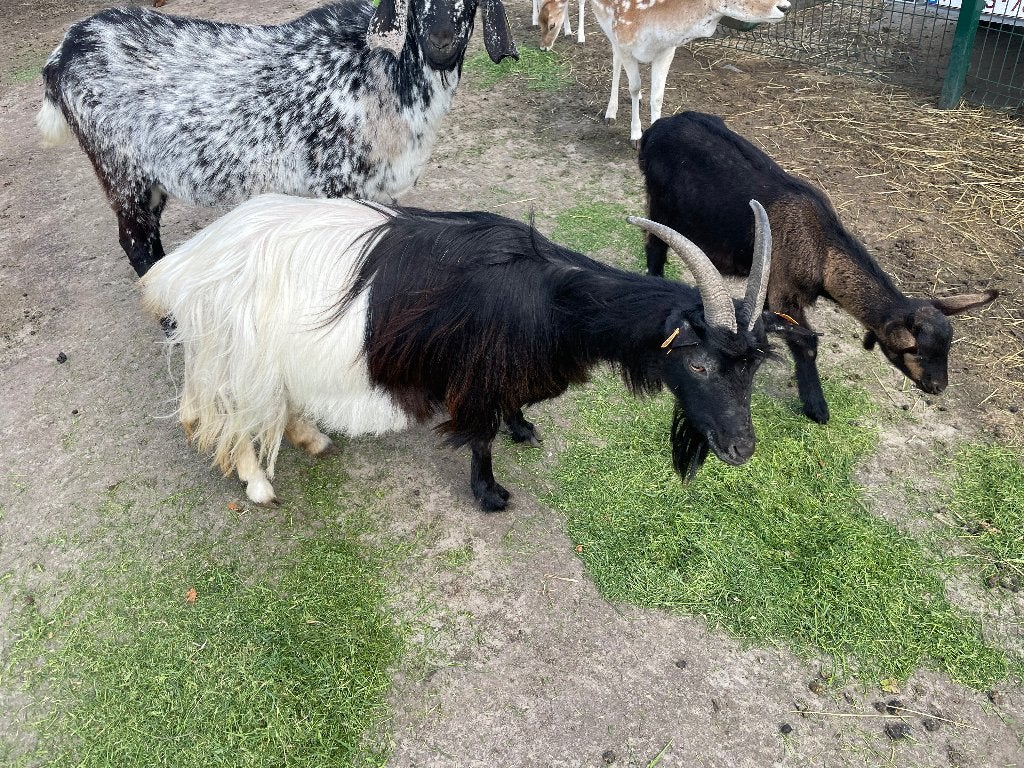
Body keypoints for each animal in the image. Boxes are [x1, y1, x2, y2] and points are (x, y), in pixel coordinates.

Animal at [141, 194, 808, 510]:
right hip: (237, 355)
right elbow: (481, 436)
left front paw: (524, 428)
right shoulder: (475, 373)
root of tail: (186, 265)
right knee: (236, 418)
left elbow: (510, 411)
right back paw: (258, 485)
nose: (741, 448)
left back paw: (311, 437)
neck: (551, 297)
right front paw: (490, 495)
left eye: (751, 368)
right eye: (698, 364)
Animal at [589, 0, 790, 145]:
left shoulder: (667, 50)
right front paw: (636, 136)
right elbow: (634, 86)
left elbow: (657, 96)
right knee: (615, 58)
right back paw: (610, 113)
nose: (785, 6)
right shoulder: (624, 41)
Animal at [639, 111, 999, 423]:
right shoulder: (785, 290)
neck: (822, 250)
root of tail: (659, 128)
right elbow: (806, 344)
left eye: (947, 346)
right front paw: (817, 407)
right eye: (912, 348)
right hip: (661, 203)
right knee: (655, 247)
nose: (937, 387)